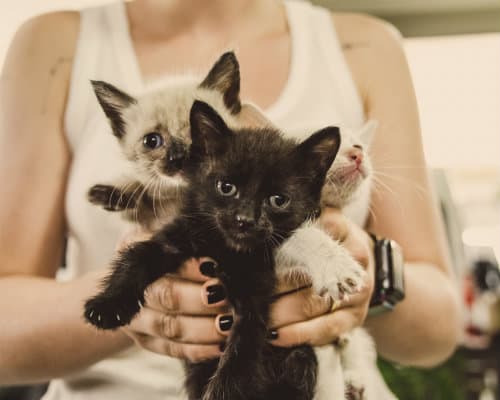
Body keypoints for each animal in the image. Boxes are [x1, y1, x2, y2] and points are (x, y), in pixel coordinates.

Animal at [84, 101, 342, 400]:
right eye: (226, 187)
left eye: (278, 200)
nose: (245, 220)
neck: (226, 248)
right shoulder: (178, 235)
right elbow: (137, 257)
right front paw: (107, 305)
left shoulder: (254, 295)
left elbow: (242, 354)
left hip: (299, 358)